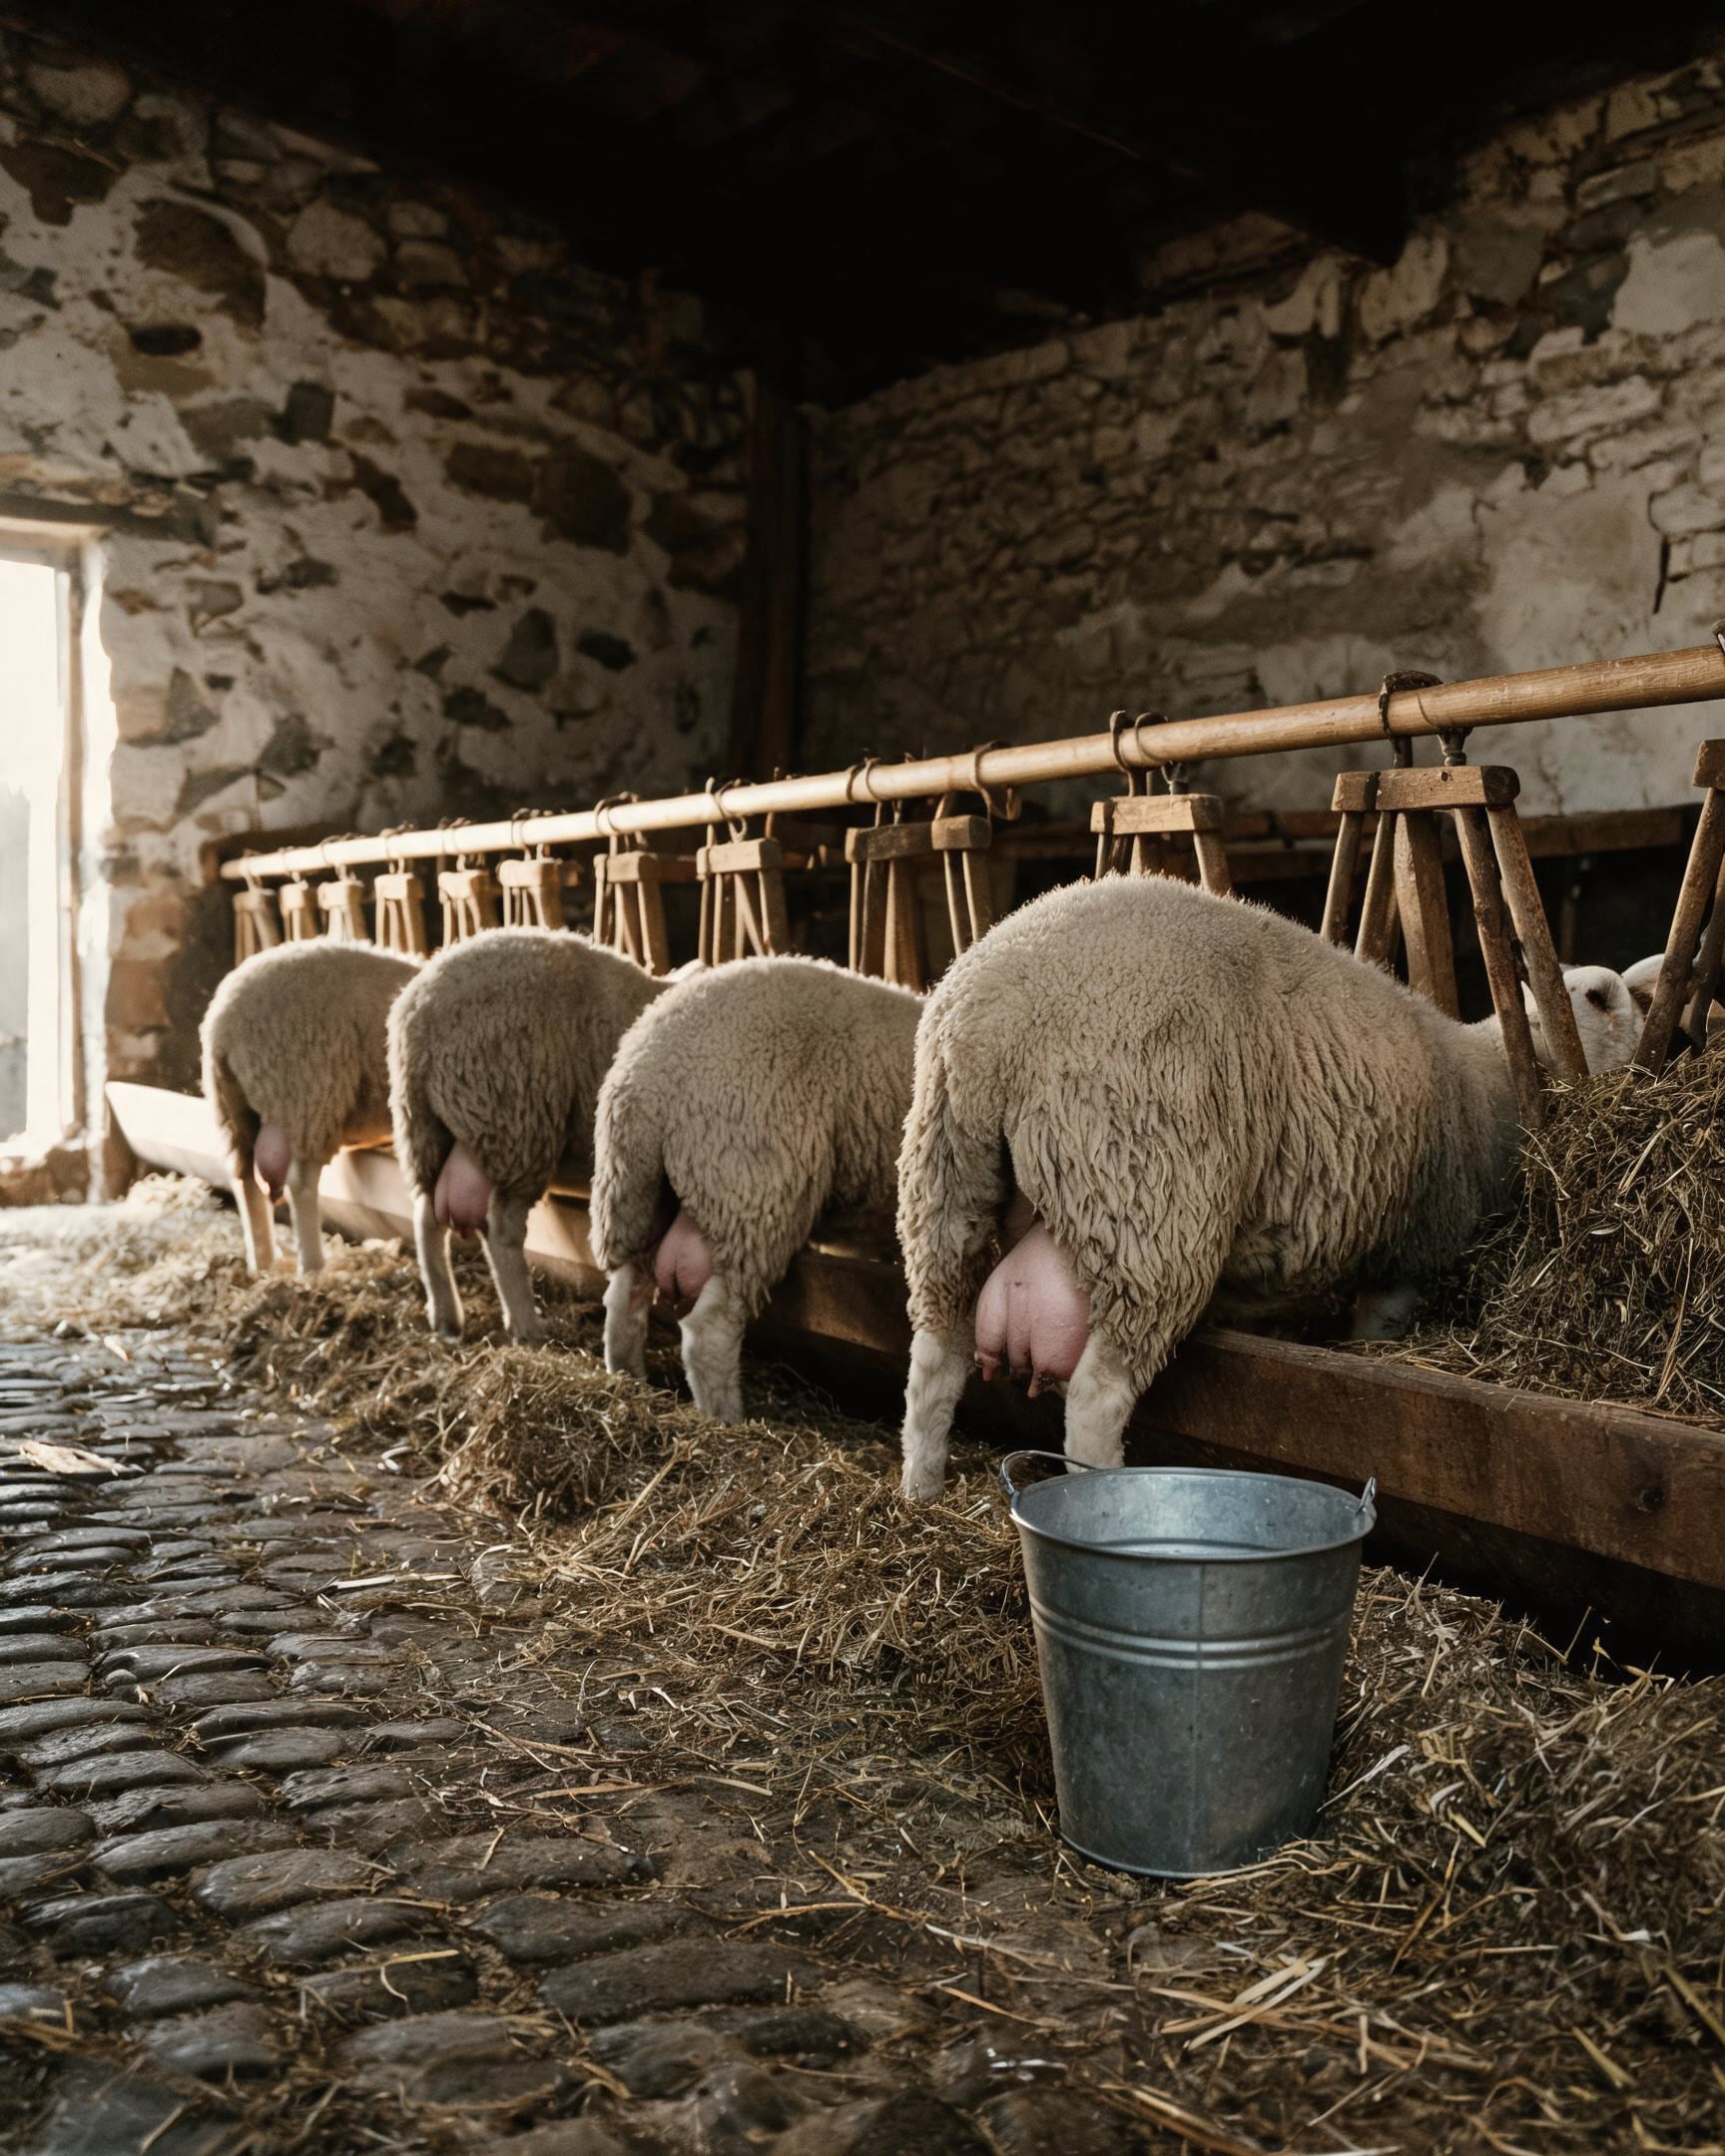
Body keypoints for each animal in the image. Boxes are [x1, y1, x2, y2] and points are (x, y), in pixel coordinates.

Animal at [201, 940, 418, 1277]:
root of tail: (222, 1027)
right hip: (304, 1094)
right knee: (300, 1184)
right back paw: (312, 1266)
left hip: (234, 1112)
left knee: (245, 1181)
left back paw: (264, 1263)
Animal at [388, 927, 666, 1342]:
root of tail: (417, 1013)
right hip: (516, 1124)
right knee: (501, 1229)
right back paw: (526, 1325)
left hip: (426, 1129)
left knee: (427, 1218)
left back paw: (446, 1317)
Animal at [590, 956, 923, 1423]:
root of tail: (642, 1076)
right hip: (747, 1190)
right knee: (708, 1329)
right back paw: (728, 1418)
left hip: (638, 1193)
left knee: (625, 1298)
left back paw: (631, 1380)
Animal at [895, 876, 1644, 1501]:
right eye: (1610, 1005)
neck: (1498, 1067)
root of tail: (993, 1019)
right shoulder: (1413, 1251)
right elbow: (1375, 1331)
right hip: (1148, 1197)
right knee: (1097, 1396)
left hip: (946, 1176)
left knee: (934, 1358)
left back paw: (919, 1488)